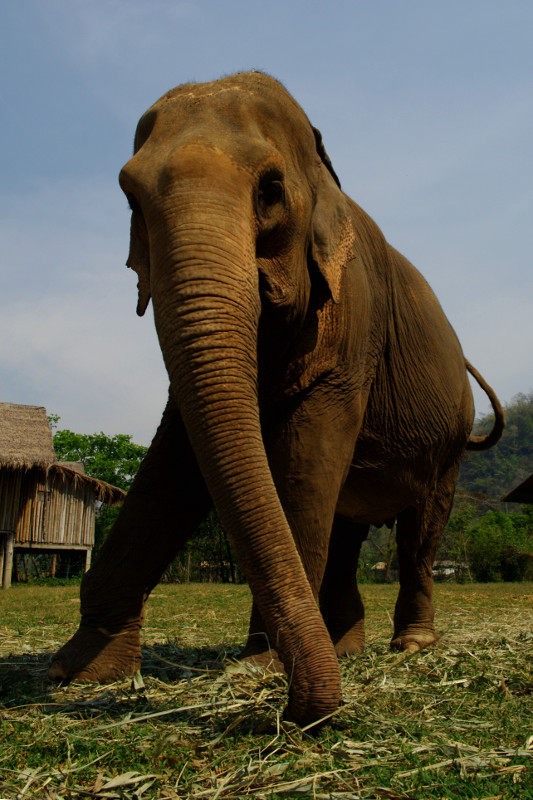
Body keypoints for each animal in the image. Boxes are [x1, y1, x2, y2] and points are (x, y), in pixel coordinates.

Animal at [46, 72, 502, 728]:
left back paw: (411, 646)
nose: (299, 713)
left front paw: (257, 668)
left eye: (271, 190)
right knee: (349, 528)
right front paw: (78, 671)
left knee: (422, 527)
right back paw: (347, 647)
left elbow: (303, 465)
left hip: (449, 443)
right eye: (130, 198)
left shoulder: (352, 321)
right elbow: (175, 463)